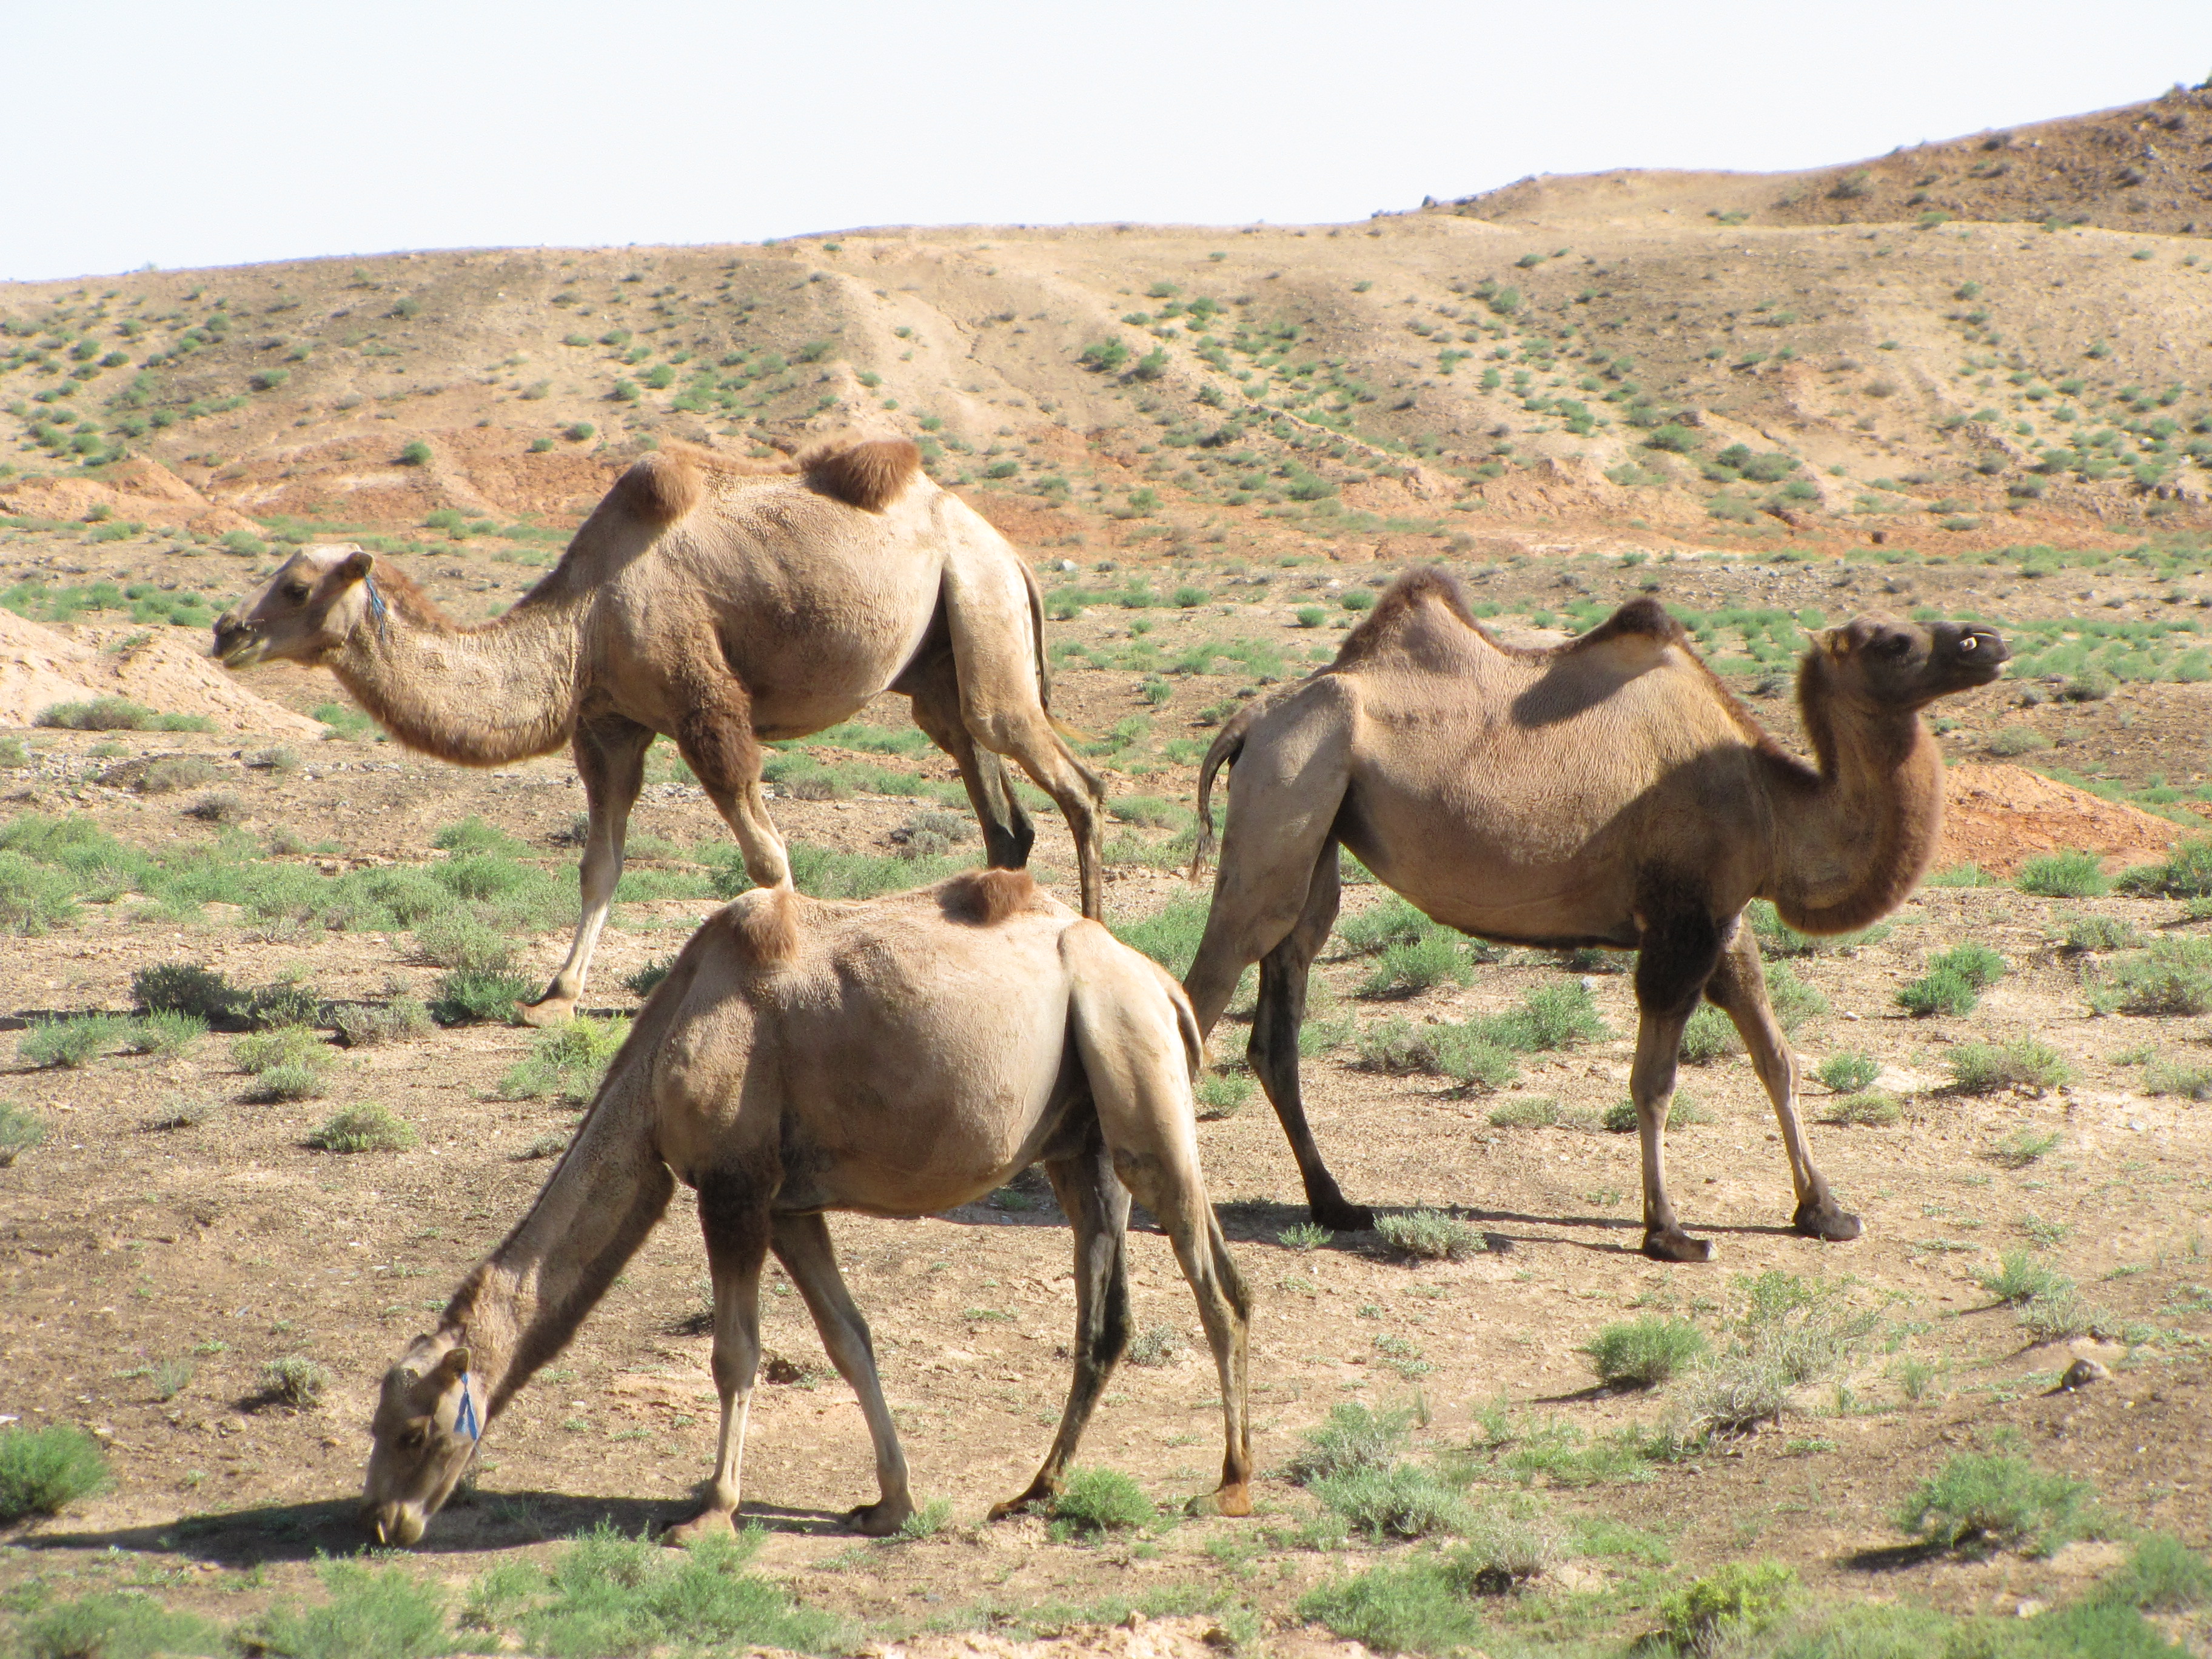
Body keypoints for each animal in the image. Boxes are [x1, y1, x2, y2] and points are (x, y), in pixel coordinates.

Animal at [213, 435, 1106, 1022]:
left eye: (295, 587)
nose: (228, 631)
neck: (584, 622)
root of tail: (1007, 548)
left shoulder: (706, 708)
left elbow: (766, 856)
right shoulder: (609, 729)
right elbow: (600, 865)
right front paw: (556, 995)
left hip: (983, 610)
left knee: (1076, 783)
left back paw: (1096, 943)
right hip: (940, 668)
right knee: (1002, 816)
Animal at [363, 862, 1247, 1557]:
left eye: (415, 1432)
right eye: (378, 1428)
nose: (385, 1521)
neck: (663, 1056)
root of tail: (1163, 985)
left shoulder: (734, 1188)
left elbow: (735, 1355)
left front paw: (711, 1514)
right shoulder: (789, 1206)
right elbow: (849, 1340)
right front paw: (889, 1504)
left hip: (1134, 1067)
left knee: (1220, 1285)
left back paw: (1231, 1486)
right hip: (1080, 1144)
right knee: (1106, 1316)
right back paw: (1036, 1490)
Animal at [1185, 571, 2017, 1256]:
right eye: (1896, 641)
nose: (1989, 641)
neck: (1773, 801)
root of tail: (1254, 718)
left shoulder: (1721, 915)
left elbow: (1776, 1057)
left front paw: (1827, 1211)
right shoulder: (1681, 923)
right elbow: (1654, 1081)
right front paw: (1671, 1232)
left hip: (1317, 828)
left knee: (1278, 1018)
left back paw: (1336, 1205)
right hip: (1288, 791)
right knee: (1206, 988)